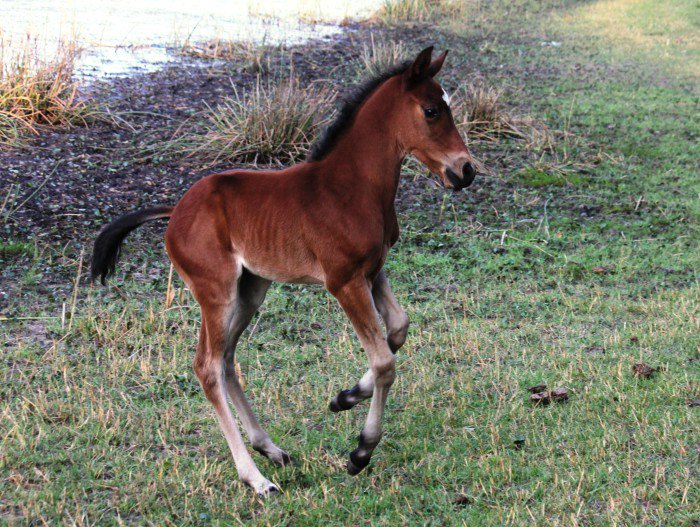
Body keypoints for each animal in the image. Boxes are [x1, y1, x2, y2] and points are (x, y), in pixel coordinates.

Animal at [91, 46, 476, 496]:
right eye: (431, 110)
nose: (466, 170)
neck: (352, 188)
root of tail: (176, 211)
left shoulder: (373, 271)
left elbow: (398, 328)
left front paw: (345, 397)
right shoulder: (343, 281)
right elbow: (384, 361)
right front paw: (361, 451)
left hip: (251, 289)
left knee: (226, 359)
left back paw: (271, 449)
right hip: (216, 291)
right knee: (207, 366)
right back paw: (256, 479)